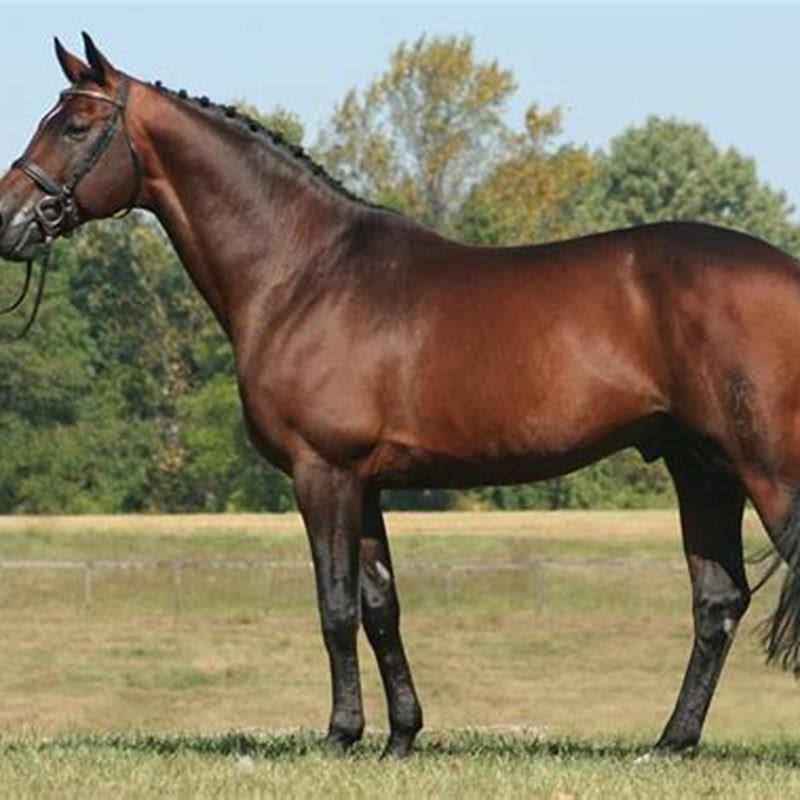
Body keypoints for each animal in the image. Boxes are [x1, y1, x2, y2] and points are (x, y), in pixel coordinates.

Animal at [1, 34, 800, 759]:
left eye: (75, 126)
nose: (9, 223)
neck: (303, 273)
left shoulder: (322, 471)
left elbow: (334, 606)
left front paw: (339, 735)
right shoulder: (366, 484)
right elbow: (381, 606)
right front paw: (400, 737)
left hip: (765, 470)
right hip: (703, 470)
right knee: (718, 601)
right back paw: (670, 743)